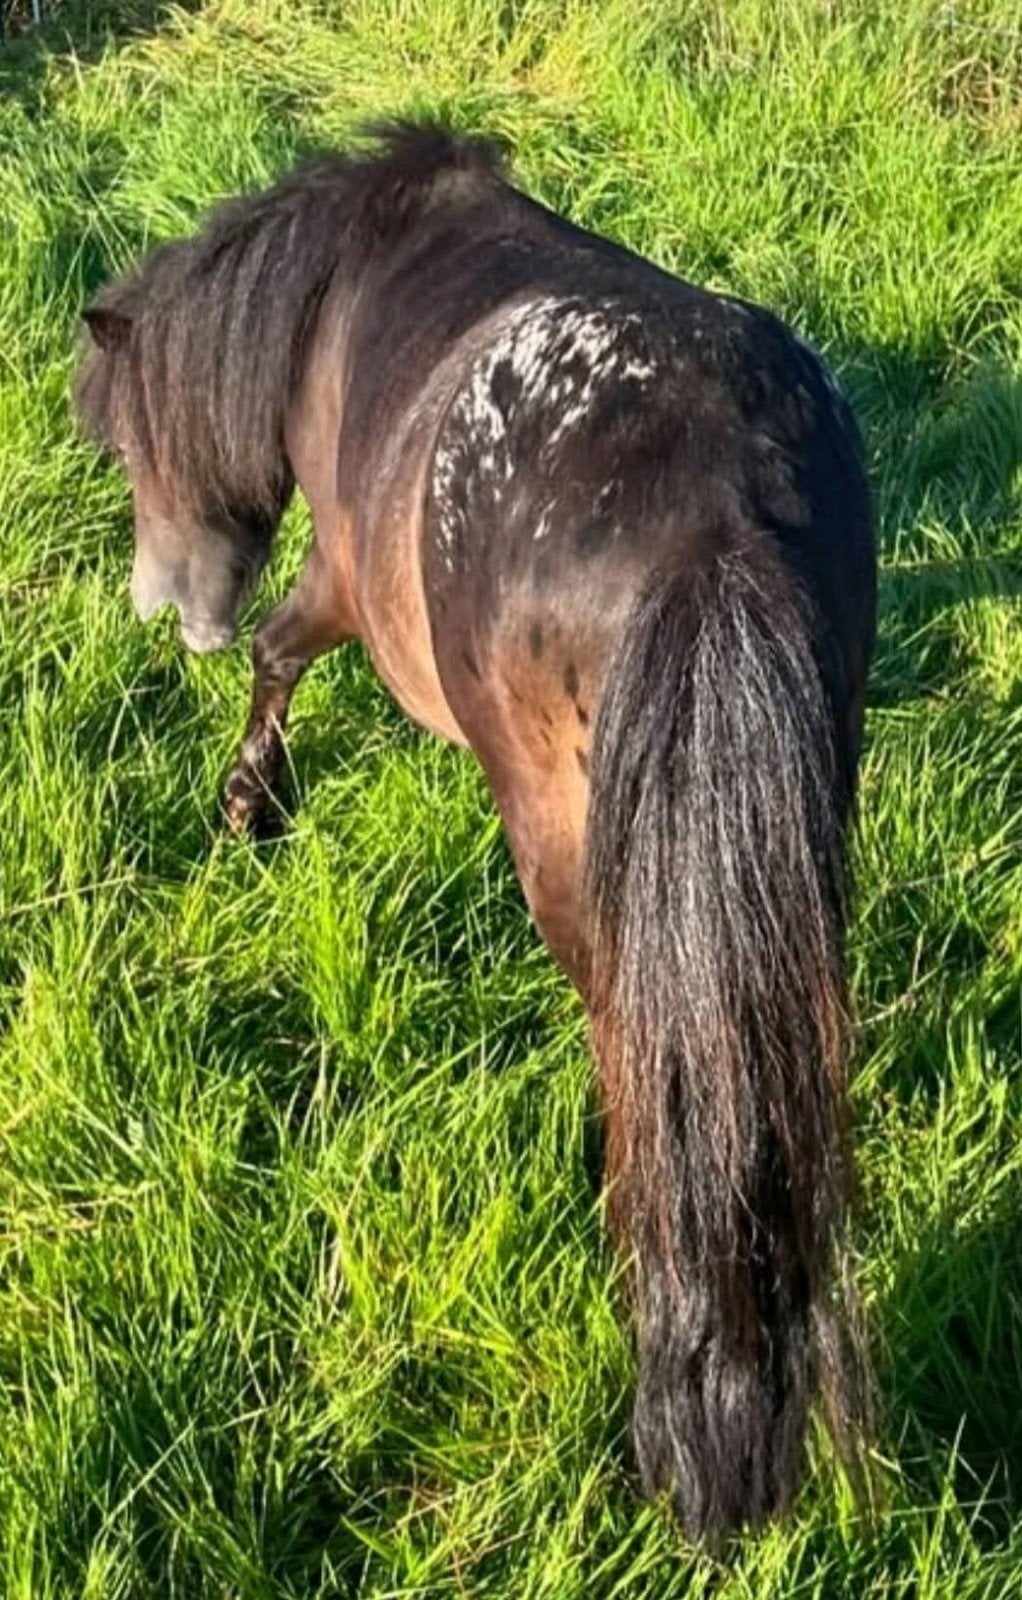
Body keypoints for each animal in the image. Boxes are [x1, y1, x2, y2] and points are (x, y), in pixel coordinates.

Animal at [76, 122, 877, 1540]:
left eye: (130, 447)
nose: (169, 614)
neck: (333, 291)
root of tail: (718, 512)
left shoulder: (339, 584)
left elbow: (281, 656)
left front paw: (249, 807)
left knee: (634, 1032)